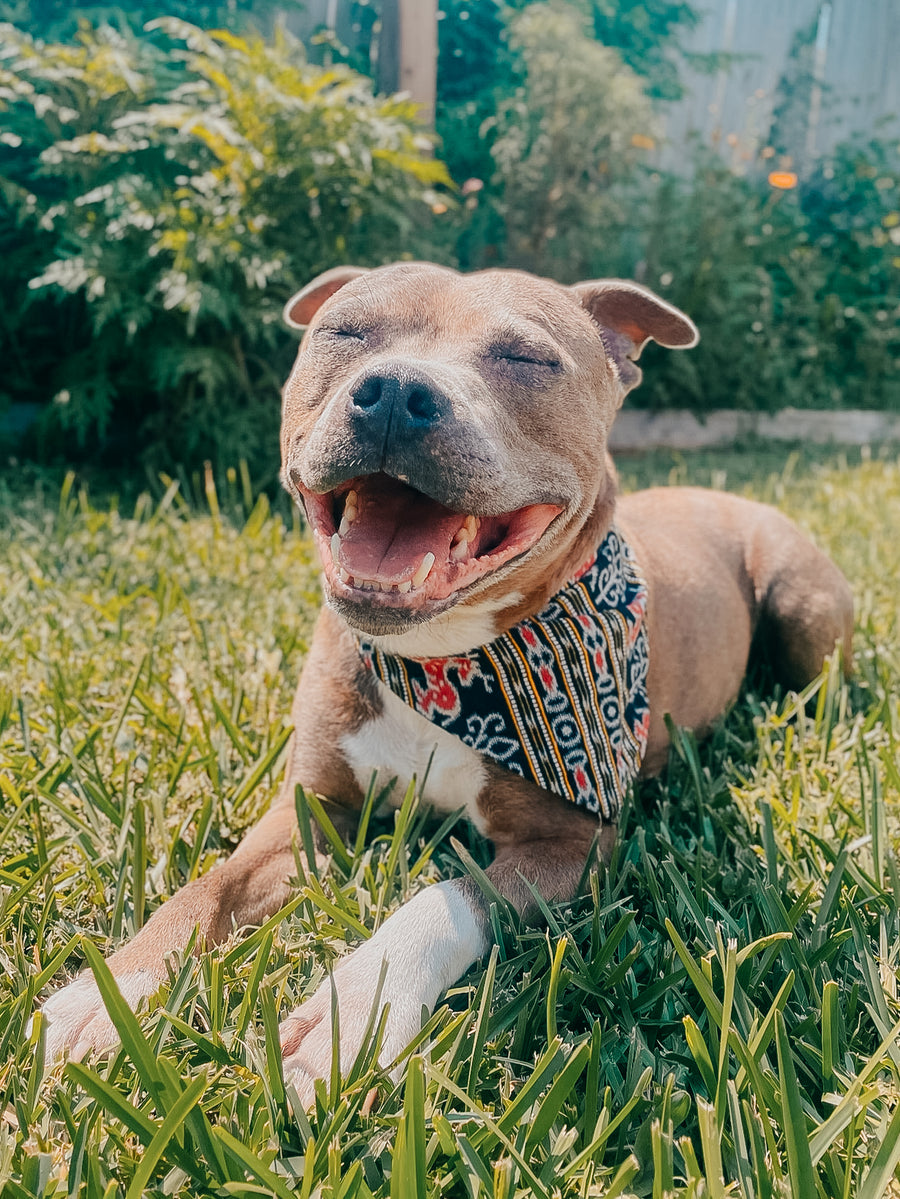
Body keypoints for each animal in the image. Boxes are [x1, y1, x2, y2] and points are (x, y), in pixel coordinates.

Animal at [42, 260, 853, 1098]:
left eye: (527, 358)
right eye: (344, 332)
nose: (396, 390)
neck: (439, 665)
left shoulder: (574, 844)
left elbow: (451, 893)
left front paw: (356, 1011)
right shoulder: (313, 806)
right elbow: (211, 883)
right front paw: (119, 988)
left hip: (801, 606)